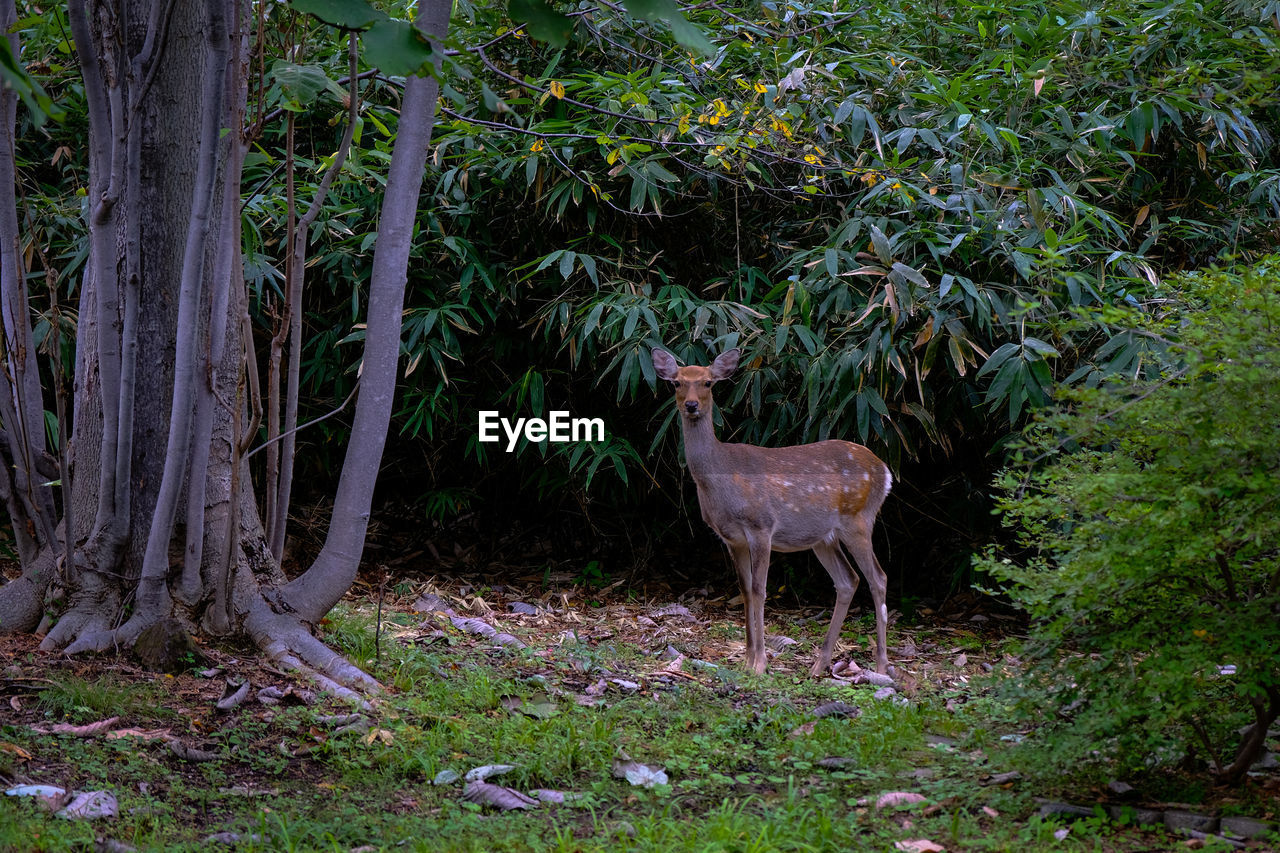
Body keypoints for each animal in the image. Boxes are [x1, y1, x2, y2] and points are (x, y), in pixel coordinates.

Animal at [650, 348, 890, 676]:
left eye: (708, 382)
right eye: (676, 382)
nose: (691, 405)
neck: (721, 477)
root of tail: (886, 471)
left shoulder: (761, 526)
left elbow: (760, 589)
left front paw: (760, 663)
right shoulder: (732, 538)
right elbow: (744, 589)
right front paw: (747, 659)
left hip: (859, 518)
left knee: (878, 578)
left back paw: (881, 665)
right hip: (823, 537)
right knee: (848, 580)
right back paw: (819, 664)